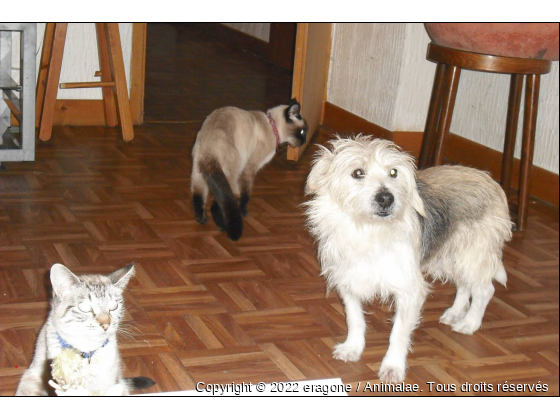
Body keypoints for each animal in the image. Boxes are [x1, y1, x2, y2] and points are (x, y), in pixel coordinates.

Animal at [191, 99, 306, 241]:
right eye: (302, 132)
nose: (305, 141)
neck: (272, 127)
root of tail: (209, 150)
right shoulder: (249, 168)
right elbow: (245, 194)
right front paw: (243, 211)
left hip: (199, 175)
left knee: (197, 198)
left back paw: (202, 220)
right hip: (231, 172)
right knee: (219, 203)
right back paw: (223, 227)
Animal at [306, 136, 512, 382]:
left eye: (393, 172)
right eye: (357, 172)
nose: (386, 198)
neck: (367, 230)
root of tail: (491, 181)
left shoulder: (408, 290)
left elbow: (398, 333)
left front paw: (393, 367)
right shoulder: (349, 280)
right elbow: (354, 319)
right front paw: (353, 348)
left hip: (471, 256)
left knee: (484, 290)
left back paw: (469, 323)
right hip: (449, 255)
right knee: (464, 285)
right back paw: (455, 312)